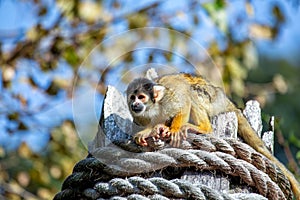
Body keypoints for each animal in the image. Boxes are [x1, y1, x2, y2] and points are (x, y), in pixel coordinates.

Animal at [126, 73, 300, 198]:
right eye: (132, 98)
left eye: (141, 97)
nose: (135, 104)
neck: (152, 107)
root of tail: (225, 100)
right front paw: (151, 130)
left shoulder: (169, 98)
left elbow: (184, 103)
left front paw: (173, 129)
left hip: (212, 98)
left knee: (191, 92)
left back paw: (203, 128)